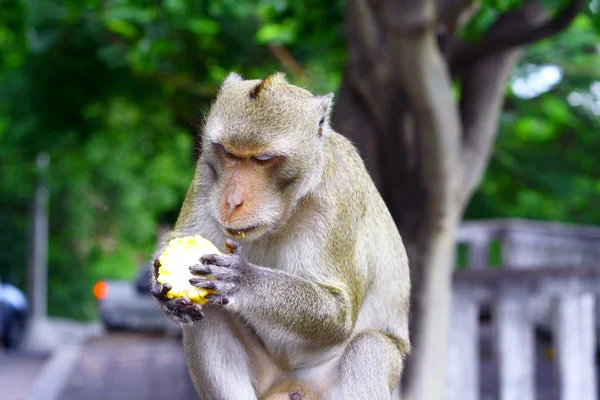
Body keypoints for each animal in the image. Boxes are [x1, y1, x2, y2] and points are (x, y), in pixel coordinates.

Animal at [151, 72, 412, 400]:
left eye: (262, 159)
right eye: (228, 154)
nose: (231, 201)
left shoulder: (339, 193)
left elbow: (339, 315)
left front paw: (245, 280)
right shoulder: (206, 173)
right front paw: (163, 289)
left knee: (369, 348)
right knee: (209, 314)